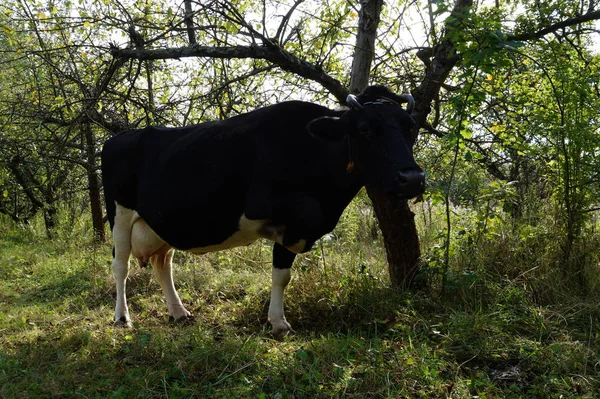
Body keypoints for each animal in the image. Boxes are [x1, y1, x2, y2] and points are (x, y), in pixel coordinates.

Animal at [101, 86, 424, 336]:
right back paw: (122, 319)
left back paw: (179, 312)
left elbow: (282, 274)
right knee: (121, 266)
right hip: (119, 214)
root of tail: (120, 137)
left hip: (161, 224)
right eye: (366, 129)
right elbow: (306, 216)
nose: (412, 178)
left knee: (162, 264)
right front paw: (278, 321)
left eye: (409, 128)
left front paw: (278, 322)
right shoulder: (266, 205)